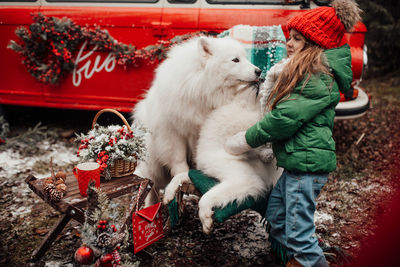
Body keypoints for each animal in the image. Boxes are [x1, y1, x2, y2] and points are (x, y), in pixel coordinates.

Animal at [134, 35, 262, 205]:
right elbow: (179, 159)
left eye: (246, 58)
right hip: (153, 161)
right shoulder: (172, 132)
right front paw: (181, 178)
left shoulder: (199, 132)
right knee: (151, 184)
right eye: (235, 60)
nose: (259, 71)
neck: (201, 84)